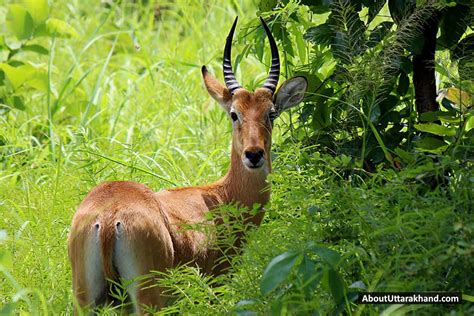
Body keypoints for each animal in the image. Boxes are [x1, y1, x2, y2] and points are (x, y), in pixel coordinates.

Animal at [68, 16, 310, 312]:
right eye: (234, 114)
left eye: (271, 113)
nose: (254, 154)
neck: (221, 196)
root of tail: (108, 216)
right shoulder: (217, 285)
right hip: (148, 300)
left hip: (85, 300)